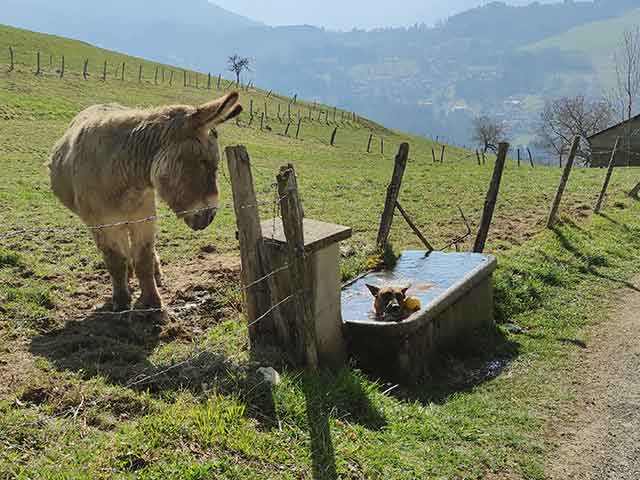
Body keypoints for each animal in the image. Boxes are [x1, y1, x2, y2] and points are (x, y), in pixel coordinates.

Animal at [49, 93, 242, 312]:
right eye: (203, 161)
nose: (210, 216)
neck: (124, 173)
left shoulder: (144, 216)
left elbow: (143, 259)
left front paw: (151, 301)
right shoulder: (101, 224)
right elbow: (115, 261)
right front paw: (122, 301)